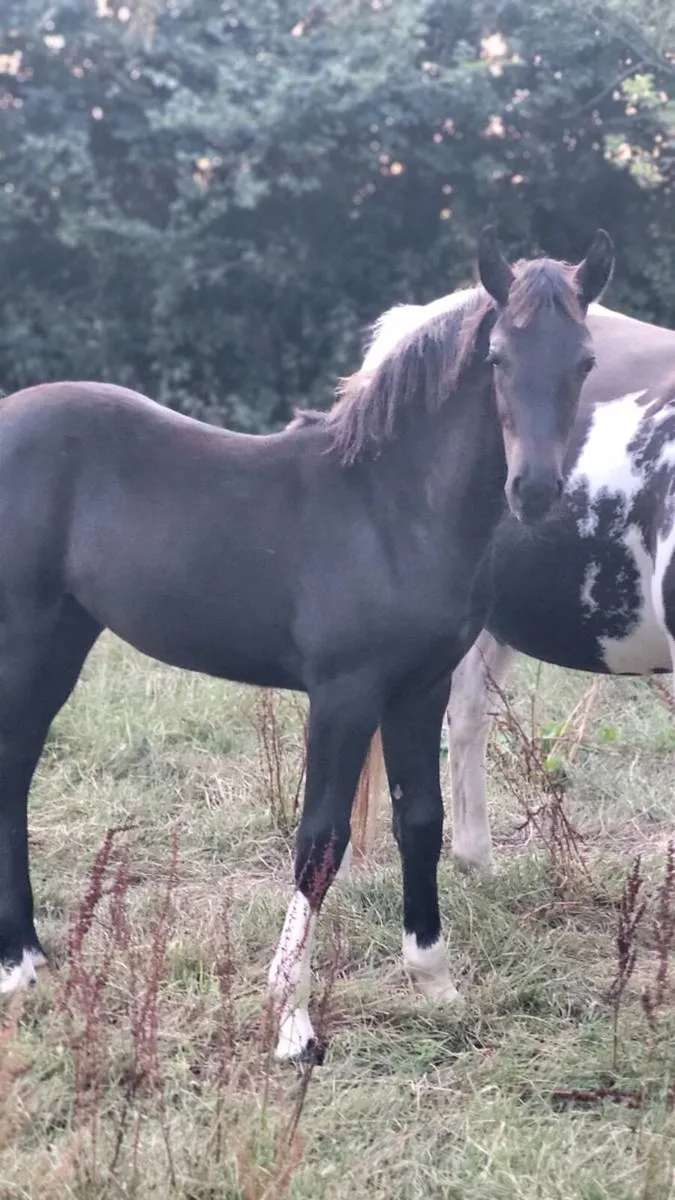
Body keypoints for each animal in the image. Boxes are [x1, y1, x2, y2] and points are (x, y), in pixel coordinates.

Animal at [0, 229, 613, 1063]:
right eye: (496, 357)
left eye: (583, 360)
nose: (536, 492)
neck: (391, 510)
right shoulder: (343, 693)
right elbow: (318, 840)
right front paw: (291, 1023)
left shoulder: (417, 689)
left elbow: (420, 819)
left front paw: (435, 982)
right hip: (24, 635)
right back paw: (16, 967)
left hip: (64, 636)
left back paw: (32, 958)